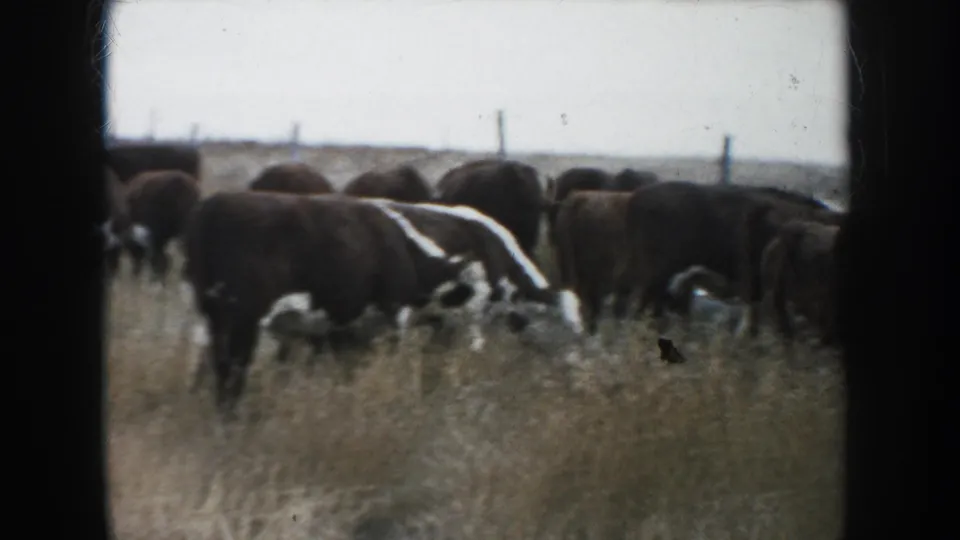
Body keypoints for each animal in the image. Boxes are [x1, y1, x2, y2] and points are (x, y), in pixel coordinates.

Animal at [183, 191, 467, 418]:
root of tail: (215, 203)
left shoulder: (338, 330)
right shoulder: (388, 317)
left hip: (214, 318)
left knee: (216, 366)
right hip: (241, 320)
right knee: (233, 369)